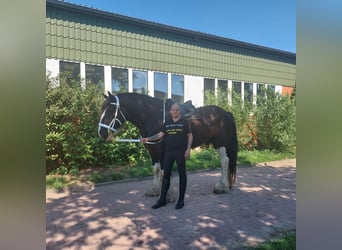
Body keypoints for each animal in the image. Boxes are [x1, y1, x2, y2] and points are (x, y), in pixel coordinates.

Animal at [98, 92, 238, 199]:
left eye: (111, 110)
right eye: (102, 109)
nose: (101, 132)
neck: (154, 117)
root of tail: (226, 113)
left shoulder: (162, 150)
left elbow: (165, 170)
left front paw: (169, 195)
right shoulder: (153, 149)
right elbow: (156, 169)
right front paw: (155, 190)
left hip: (221, 143)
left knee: (225, 161)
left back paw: (222, 187)